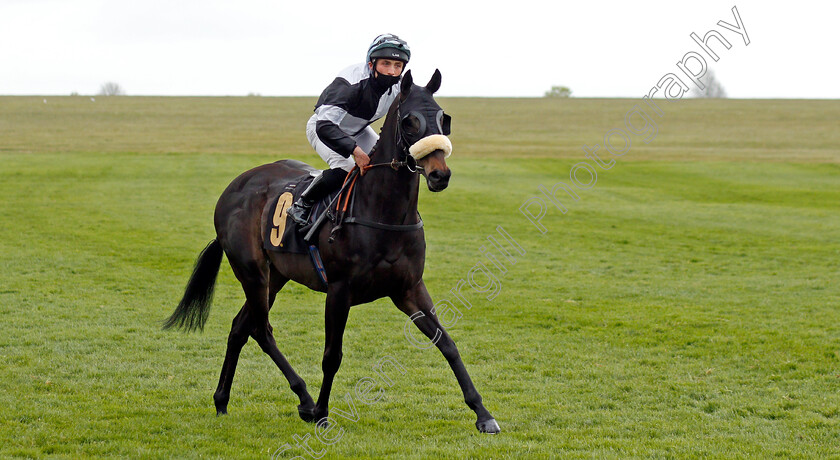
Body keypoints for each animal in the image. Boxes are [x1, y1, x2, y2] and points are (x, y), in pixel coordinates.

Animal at [167, 70, 502, 434]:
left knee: (241, 327)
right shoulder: (339, 291)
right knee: (261, 329)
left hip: (276, 276)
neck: (382, 212)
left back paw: (223, 401)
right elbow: (332, 356)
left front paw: (483, 413)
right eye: (410, 121)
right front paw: (323, 414)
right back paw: (305, 400)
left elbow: (447, 343)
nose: (440, 174)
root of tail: (233, 188)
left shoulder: (409, 289)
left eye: (443, 118)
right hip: (252, 272)